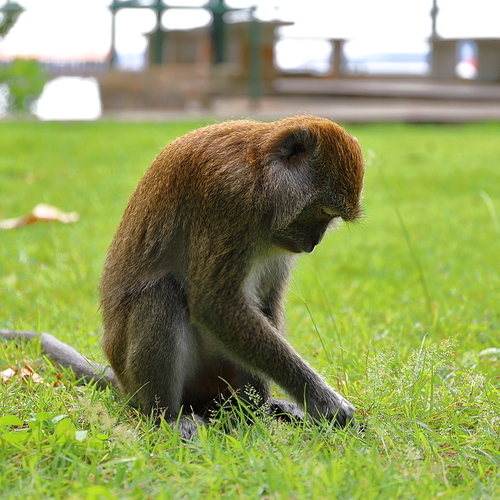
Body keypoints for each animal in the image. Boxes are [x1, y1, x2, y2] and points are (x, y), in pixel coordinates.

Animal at [0, 116, 364, 438]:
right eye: (323, 212)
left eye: (330, 218)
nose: (314, 242)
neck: (259, 171)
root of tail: (122, 382)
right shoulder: (229, 194)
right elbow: (217, 306)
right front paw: (322, 401)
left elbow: (264, 303)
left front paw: (274, 408)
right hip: (138, 375)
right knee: (161, 294)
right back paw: (168, 418)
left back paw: (247, 409)